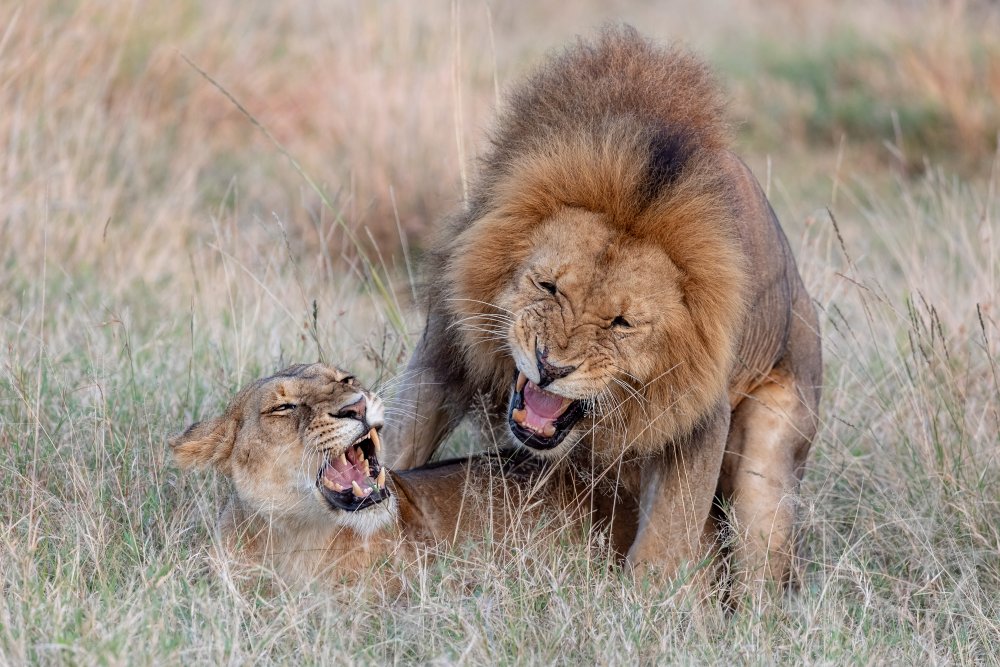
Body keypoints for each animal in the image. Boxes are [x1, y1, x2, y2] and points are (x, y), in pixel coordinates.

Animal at [388, 24, 820, 596]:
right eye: (547, 286)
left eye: (622, 323)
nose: (551, 367)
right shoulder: (443, 354)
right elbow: (392, 444)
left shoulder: (701, 417)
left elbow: (666, 542)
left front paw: (645, 607)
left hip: (771, 458)